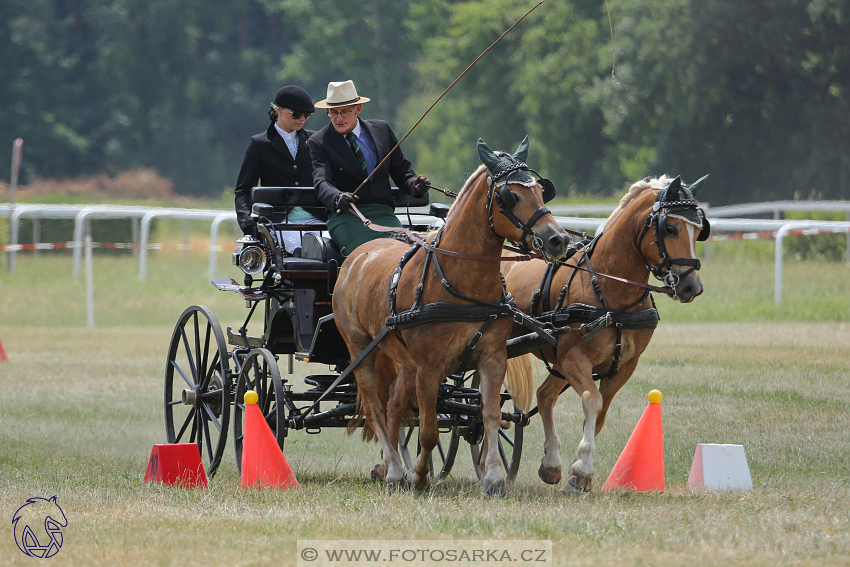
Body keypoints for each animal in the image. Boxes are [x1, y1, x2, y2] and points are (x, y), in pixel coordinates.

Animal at [332, 139, 568, 496]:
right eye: (510, 196)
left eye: (542, 190)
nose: (558, 239)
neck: (459, 281)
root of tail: (357, 255)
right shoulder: (430, 367)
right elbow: (429, 429)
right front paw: (420, 475)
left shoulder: (492, 358)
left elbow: (490, 414)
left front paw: (493, 477)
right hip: (361, 349)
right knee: (375, 406)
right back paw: (396, 470)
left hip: (405, 361)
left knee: (395, 405)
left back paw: (393, 465)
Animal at [504, 174, 708, 492]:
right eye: (671, 228)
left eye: (699, 230)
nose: (692, 287)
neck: (609, 291)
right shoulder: (573, 357)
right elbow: (592, 400)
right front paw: (583, 467)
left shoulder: (623, 366)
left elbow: (600, 412)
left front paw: (576, 471)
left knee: (545, 395)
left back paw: (551, 464)